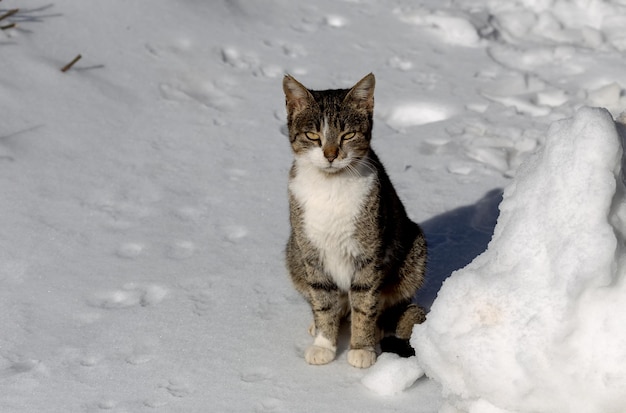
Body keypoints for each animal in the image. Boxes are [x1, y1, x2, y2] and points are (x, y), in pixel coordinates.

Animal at [282, 71, 424, 366]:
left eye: (348, 135)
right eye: (313, 135)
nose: (330, 155)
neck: (330, 186)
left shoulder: (369, 253)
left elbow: (365, 302)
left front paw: (362, 348)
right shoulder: (311, 251)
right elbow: (323, 299)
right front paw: (324, 344)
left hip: (414, 250)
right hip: (293, 254)